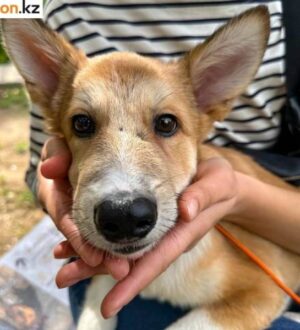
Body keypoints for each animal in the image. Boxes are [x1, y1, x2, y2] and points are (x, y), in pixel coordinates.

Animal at [2, 6, 300, 328]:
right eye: (81, 123)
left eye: (167, 123)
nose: (123, 216)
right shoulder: (101, 285)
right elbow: (94, 315)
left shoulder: (262, 288)